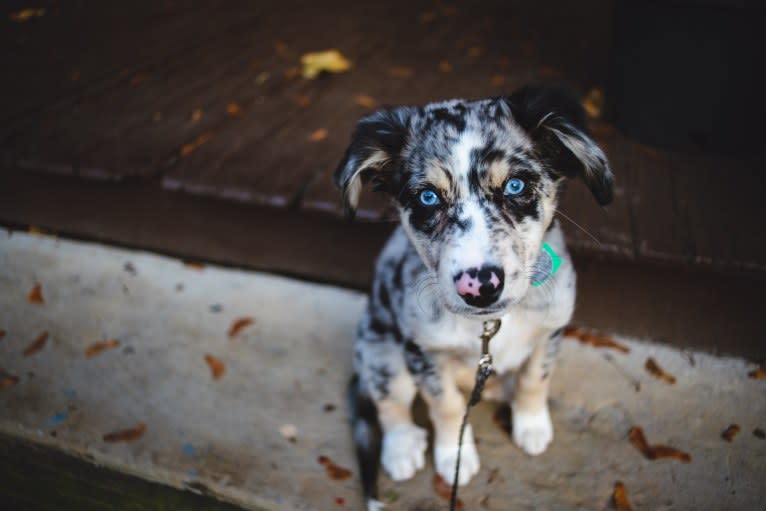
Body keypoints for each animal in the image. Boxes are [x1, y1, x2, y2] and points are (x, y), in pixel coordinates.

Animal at [336, 85, 612, 508]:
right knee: (391, 403)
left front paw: (532, 426)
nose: (478, 286)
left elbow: (535, 379)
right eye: (428, 197)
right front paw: (454, 457)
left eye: (515, 186)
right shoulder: (423, 351)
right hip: (380, 353)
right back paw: (401, 449)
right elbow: (445, 406)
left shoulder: (551, 330)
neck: (488, 325)